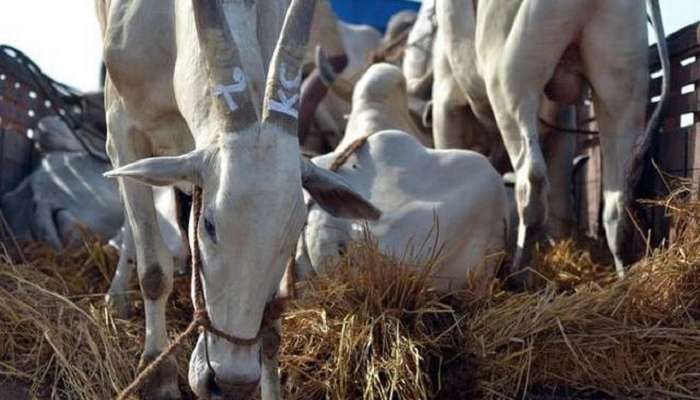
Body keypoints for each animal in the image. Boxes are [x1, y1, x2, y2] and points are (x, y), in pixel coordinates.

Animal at [95, 0, 378, 400]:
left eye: (293, 231)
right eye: (210, 226)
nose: (230, 383)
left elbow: (272, 321)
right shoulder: (123, 127)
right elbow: (153, 270)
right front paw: (158, 376)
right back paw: (118, 296)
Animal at [434, 0, 668, 276]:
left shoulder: (445, 103)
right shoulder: (563, 121)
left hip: (511, 82)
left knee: (531, 181)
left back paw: (517, 273)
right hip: (620, 79)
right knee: (616, 199)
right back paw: (622, 272)